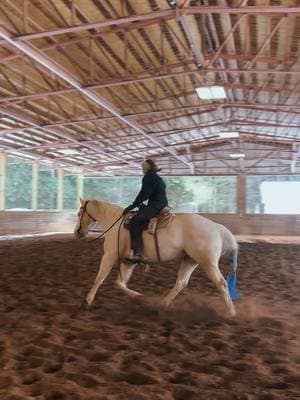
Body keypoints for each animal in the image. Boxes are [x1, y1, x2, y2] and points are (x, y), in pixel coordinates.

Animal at [74, 197, 239, 316]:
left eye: (79, 213)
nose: (77, 232)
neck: (116, 224)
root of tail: (216, 227)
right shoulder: (128, 262)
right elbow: (120, 284)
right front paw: (139, 296)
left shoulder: (109, 256)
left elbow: (99, 279)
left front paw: (86, 302)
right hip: (190, 260)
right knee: (181, 282)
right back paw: (161, 305)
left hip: (207, 263)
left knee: (221, 283)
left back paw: (231, 313)